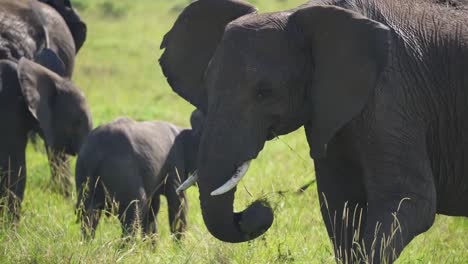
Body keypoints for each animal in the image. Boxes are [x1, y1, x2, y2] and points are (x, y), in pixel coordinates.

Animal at [75, 110, 203, 238]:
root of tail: (96, 153)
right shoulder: (175, 163)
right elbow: (178, 202)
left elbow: (153, 207)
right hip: (123, 171)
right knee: (134, 212)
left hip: (83, 172)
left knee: (88, 215)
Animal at [159, 0, 466, 262]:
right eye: (206, 85)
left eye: (264, 92)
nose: (259, 209)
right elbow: (340, 207)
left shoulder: (392, 95)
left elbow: (409, 201)